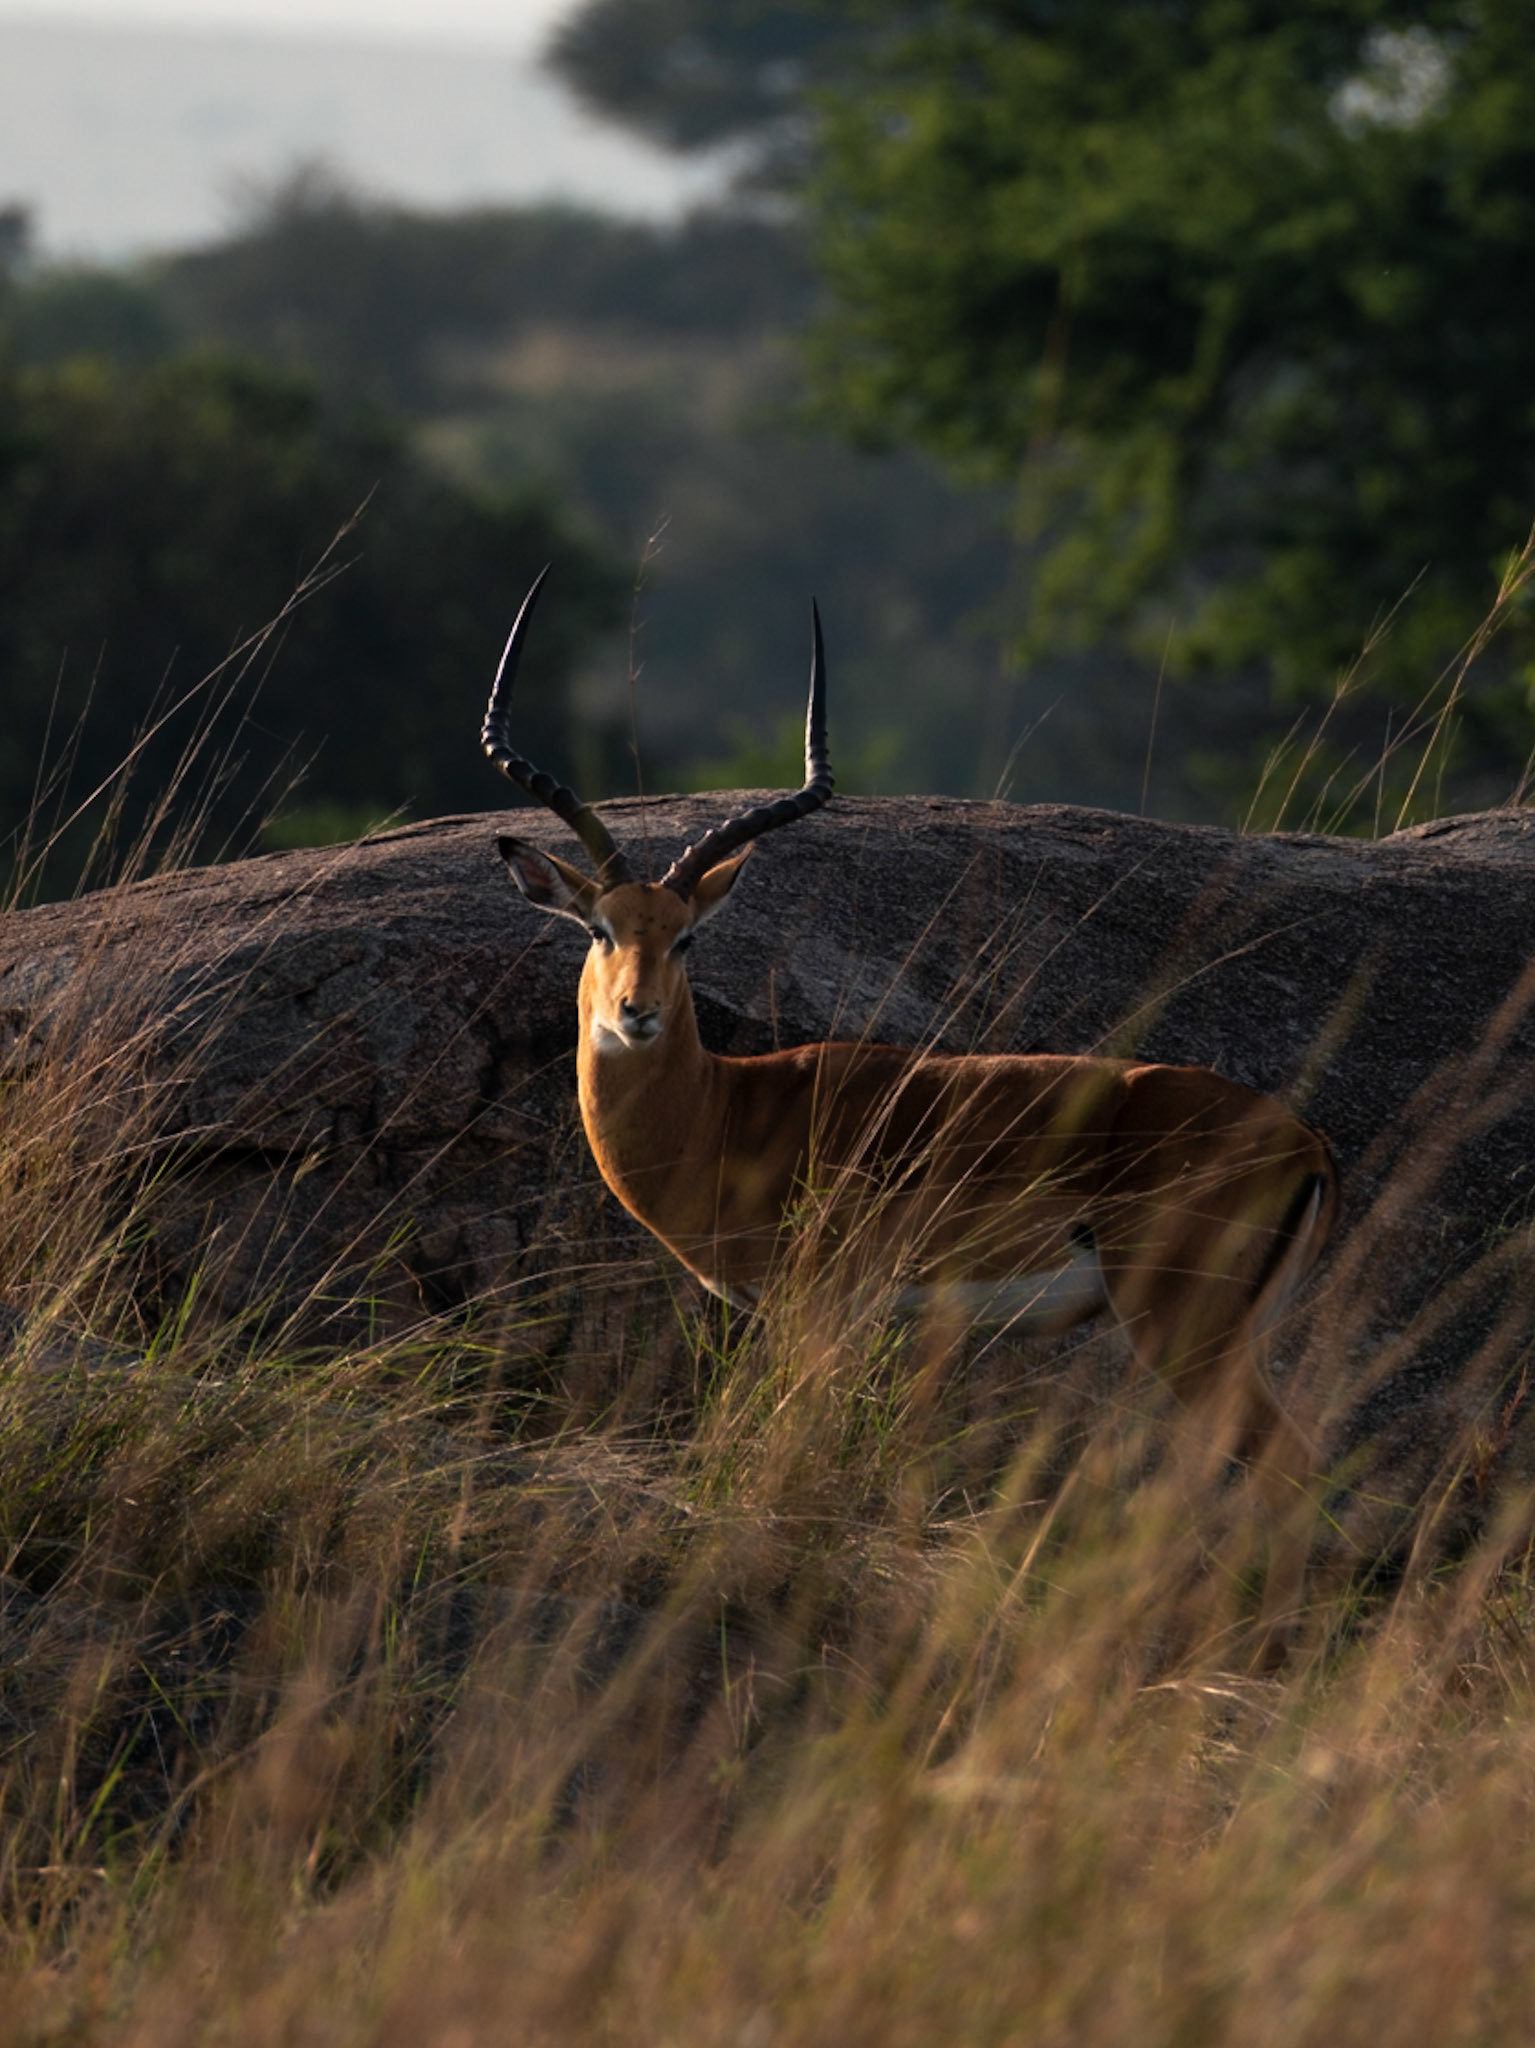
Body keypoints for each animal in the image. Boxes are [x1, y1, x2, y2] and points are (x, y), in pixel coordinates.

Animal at [484, 570, 1338, 1651]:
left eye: (685, 937)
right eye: (600, 927)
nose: (635, 1013)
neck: (729, 1112)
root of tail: (1305, 1141)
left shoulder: (816, 1312)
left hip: (1183, 1327)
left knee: (1287, 1468)